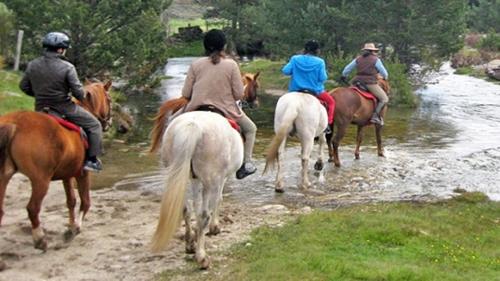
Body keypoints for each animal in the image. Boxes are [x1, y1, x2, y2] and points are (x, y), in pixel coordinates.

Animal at [0, 79, 112, 249]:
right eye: (109, 100)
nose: (108, 123)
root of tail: (14, 124)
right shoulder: (82, 173)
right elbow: (85, 202)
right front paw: (75, 228)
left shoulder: (67, 174)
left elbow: (71, 201)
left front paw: (70, 227)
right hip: (40, 180)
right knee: (33, 208)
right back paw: (40, 239)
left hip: (3, 177)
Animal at [148, 110, 244, 268]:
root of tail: (192, 126)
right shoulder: (219, 179)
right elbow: (217, 201)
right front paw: (214, 227)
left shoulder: (194, 179)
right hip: (210, 180)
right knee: (203, 215)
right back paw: (201, 257)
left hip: (178, 175)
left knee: (185, 209)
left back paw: (190, 245)